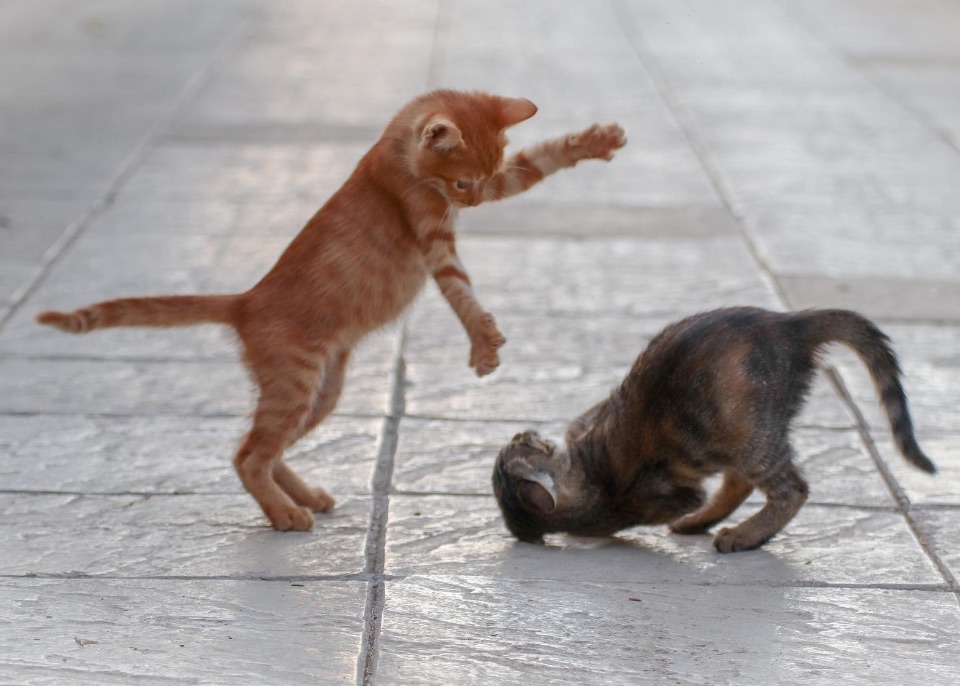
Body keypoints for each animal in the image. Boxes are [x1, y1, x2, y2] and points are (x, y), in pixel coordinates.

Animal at [37, 90, 628, 532]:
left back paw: (304, 496)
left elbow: (540, 161)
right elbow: (462, 293)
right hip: (295, 386)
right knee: (247, 456)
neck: (394, 153)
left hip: (321, 393)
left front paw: (591, 142)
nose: (475, 201)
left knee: (262, 450)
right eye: (463, 182)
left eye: (484, 178)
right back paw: (284, 514)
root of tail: (246, 300)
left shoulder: (494, 187)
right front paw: (483, 344)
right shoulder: (434, 239)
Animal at [492, 310, 932, 556]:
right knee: (778, 487)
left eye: (519, 445)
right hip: (747, 433)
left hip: (746, 433)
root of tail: (788, 324)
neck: (589, 484)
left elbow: (586, 417)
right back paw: (734, 533)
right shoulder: (675, 494)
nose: (522, 433)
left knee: (778, 486)